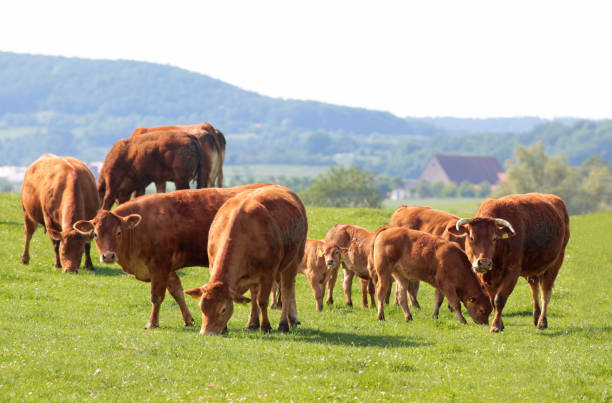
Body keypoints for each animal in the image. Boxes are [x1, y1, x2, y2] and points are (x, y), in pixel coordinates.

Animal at [71, 185, 266, 330]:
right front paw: (188, 319)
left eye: (118, 232)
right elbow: (177, 291)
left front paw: (152, 323)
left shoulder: (159, 266)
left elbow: (157, 296)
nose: (108, 255)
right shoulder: (167, 269)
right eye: (96, 234)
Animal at [182, 185, 306, 334]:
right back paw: (253, 322)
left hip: (293, 261)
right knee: (255, 293)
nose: (206, 333)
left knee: (287, 291)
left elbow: (262, 301)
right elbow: (254, 298)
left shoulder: (268, 274)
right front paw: (229, 327)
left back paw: (284, 324)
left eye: (223, 309)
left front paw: (266, 326)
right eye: (201, 307)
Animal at [454, 194, 568, 332]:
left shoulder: (512, 273)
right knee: (534, 288)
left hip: (555, 263)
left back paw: (542, 321)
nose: (484, 263)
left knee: (545, 292)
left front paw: (495, 326)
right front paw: (500, 324)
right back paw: (536, 317)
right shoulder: (485, 277)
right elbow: (493, 300)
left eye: (494, 238)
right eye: (471, 237)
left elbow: (499, 299)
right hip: (533, 269)